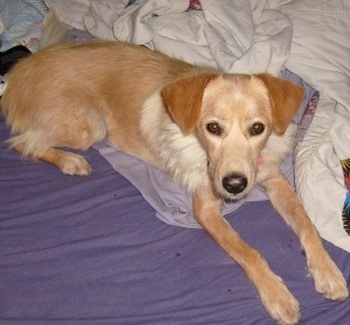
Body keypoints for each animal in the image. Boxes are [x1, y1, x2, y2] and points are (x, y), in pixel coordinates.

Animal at [1, 41, 348, 324]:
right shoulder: (205, 208)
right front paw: (277, 295)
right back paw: (70, 161)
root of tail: (21, 71)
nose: (234, 185)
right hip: (90, 125)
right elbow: (248, 251)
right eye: (212, 127)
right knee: (23, 142)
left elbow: (307, 224)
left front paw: (328, 272)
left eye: (258, 128)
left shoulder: (273, 178)